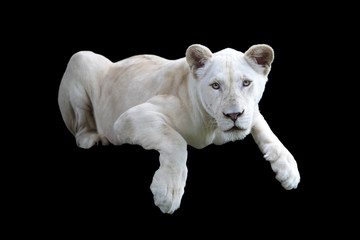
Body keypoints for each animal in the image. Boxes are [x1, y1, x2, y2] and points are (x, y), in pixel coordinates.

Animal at [59, 44, 300, 213]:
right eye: (215, 86)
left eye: (246, 83)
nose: (233, 115)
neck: (213, 126)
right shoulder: (128, 118)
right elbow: (176, 140)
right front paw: (168, 192)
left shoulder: (252, 112)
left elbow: (267, 130)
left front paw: (288, 169)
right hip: (80, 59)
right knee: (81, 126)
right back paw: (93, 138)